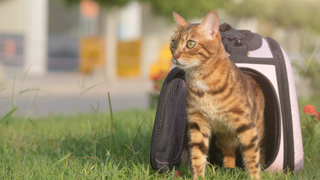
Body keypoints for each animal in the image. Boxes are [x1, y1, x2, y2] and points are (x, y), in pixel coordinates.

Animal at [170, 10, 264, 179]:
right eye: (173, 43)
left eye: (190, 44)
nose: (175, 56)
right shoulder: (198, 122)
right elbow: (197, 155)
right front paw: (198, 177)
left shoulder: (246, 125)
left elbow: (252, 157)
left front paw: (255, 177)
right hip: (225, 138)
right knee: (229, 154)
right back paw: (228, 169)